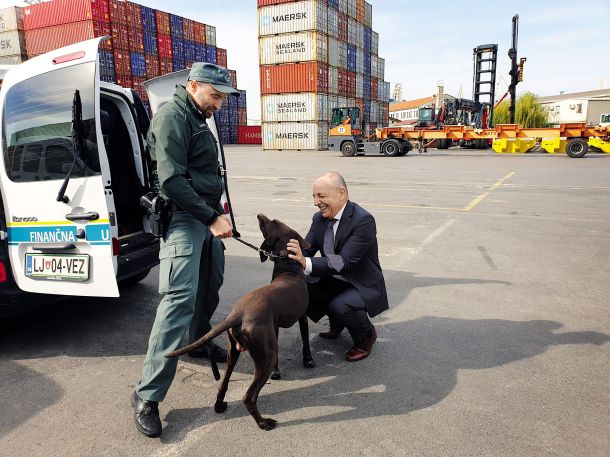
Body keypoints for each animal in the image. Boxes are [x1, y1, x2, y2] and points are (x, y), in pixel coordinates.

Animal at [169, 214, 316, 428]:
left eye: (271, 221)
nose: (260, 215)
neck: (288, 269)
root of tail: (237, 314)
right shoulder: (302, 317)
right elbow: (305, 341)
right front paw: (308, 360)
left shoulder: (275, 327)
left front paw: (279, 371)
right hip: (265, 356)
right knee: (248, 397)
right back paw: (263, 423)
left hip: (234, 351)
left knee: (223, 384)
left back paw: (220, 405)